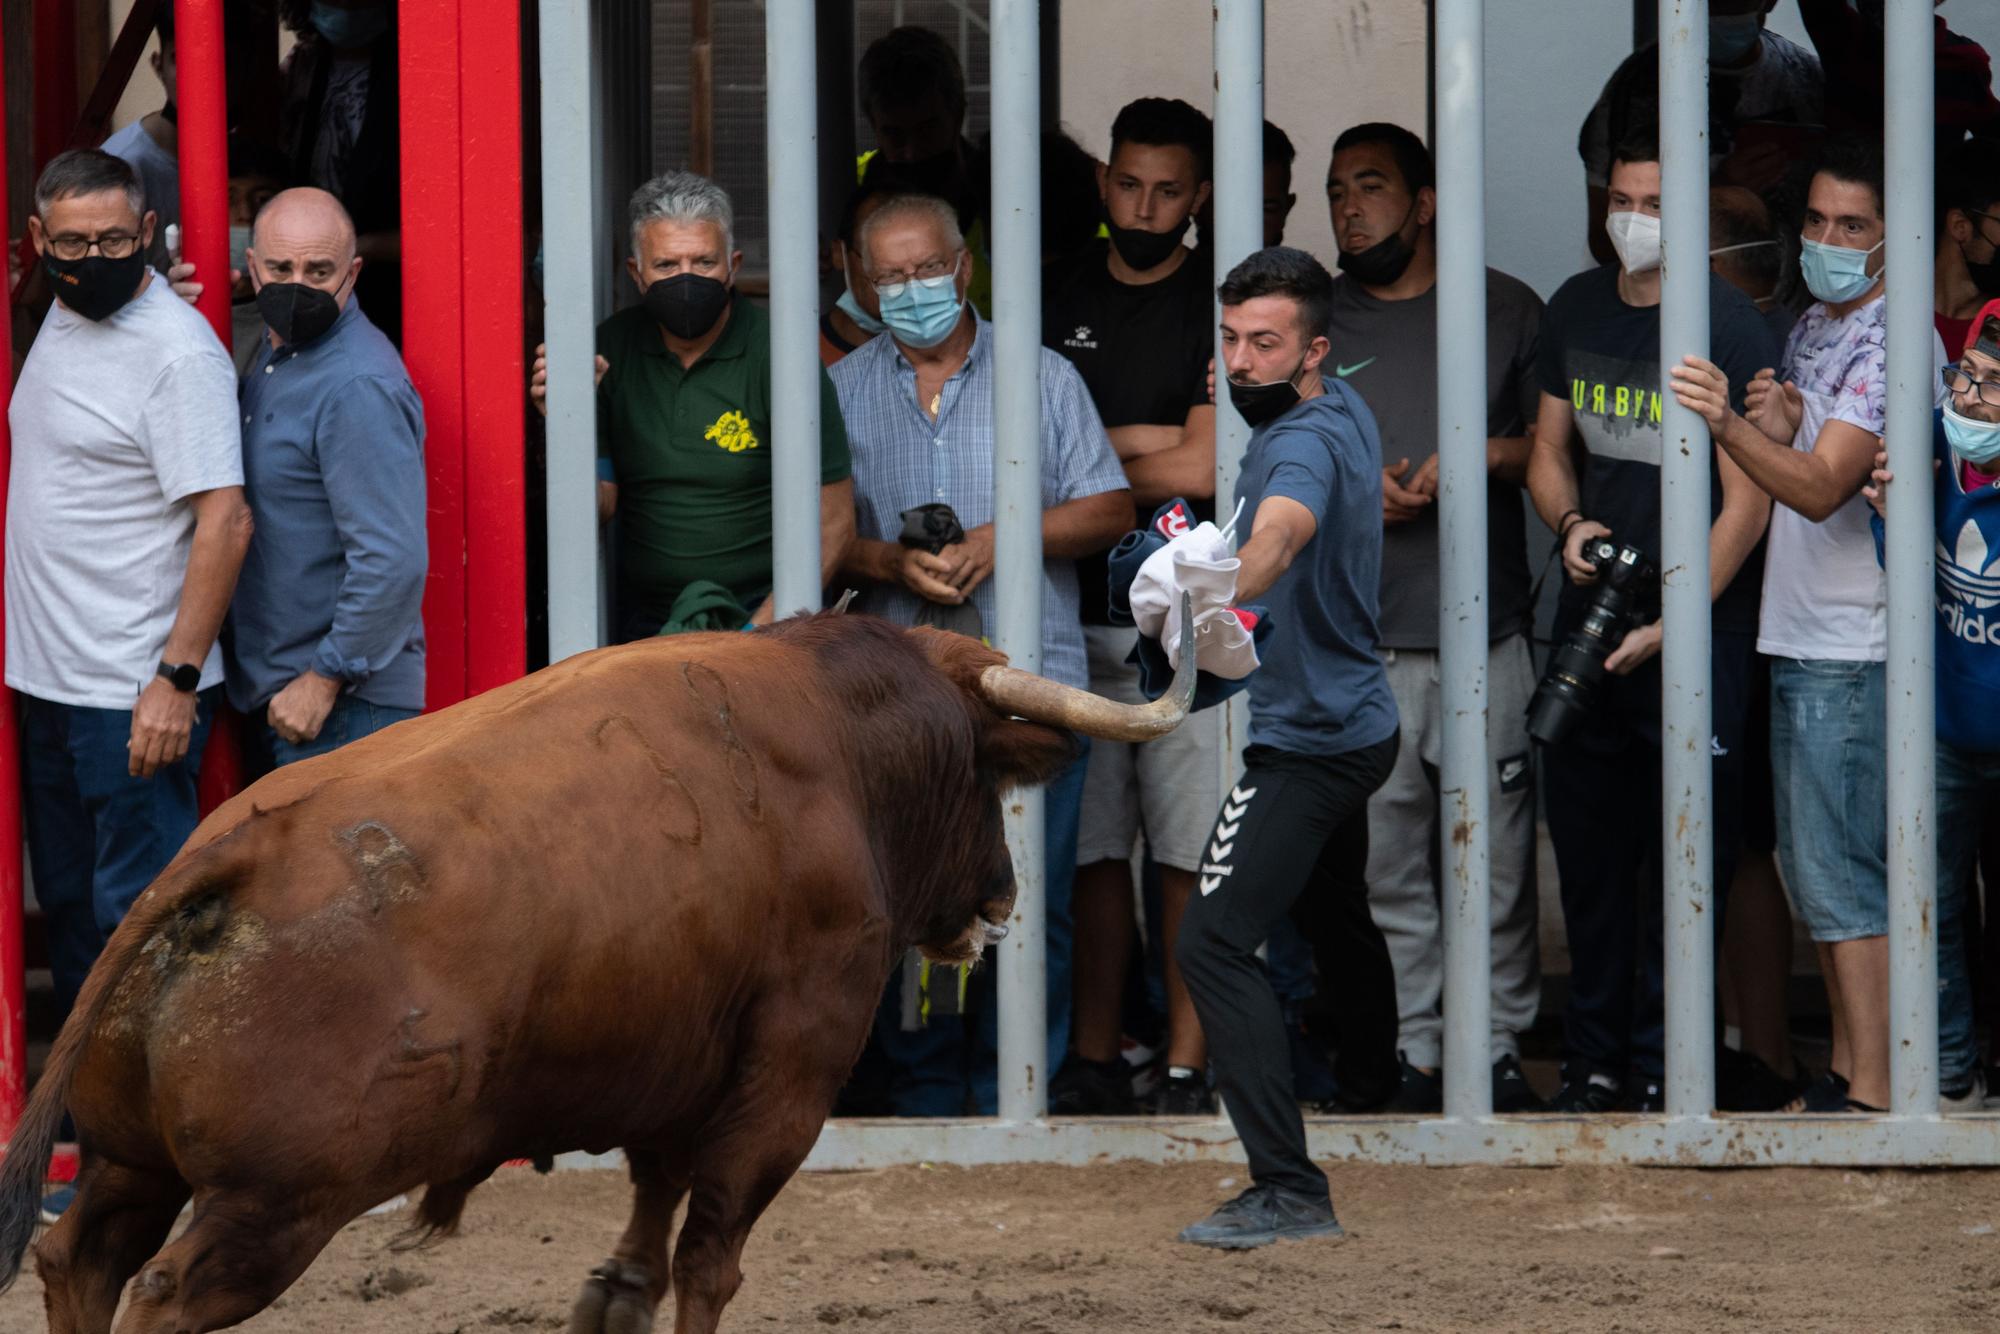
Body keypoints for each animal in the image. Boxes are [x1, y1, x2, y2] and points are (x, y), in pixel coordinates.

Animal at [0, 608, 1184, 1334]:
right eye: (984, 776)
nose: (998, 898)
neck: (837, 747)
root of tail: (228, 856)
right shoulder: (787, 1079)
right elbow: (709, 1252)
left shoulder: (672, 1065)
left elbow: (648, 1219)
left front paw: (613, 1290)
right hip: (274, 1207)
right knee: (160, 1293)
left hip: (132, 1163)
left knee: (76, 1261)